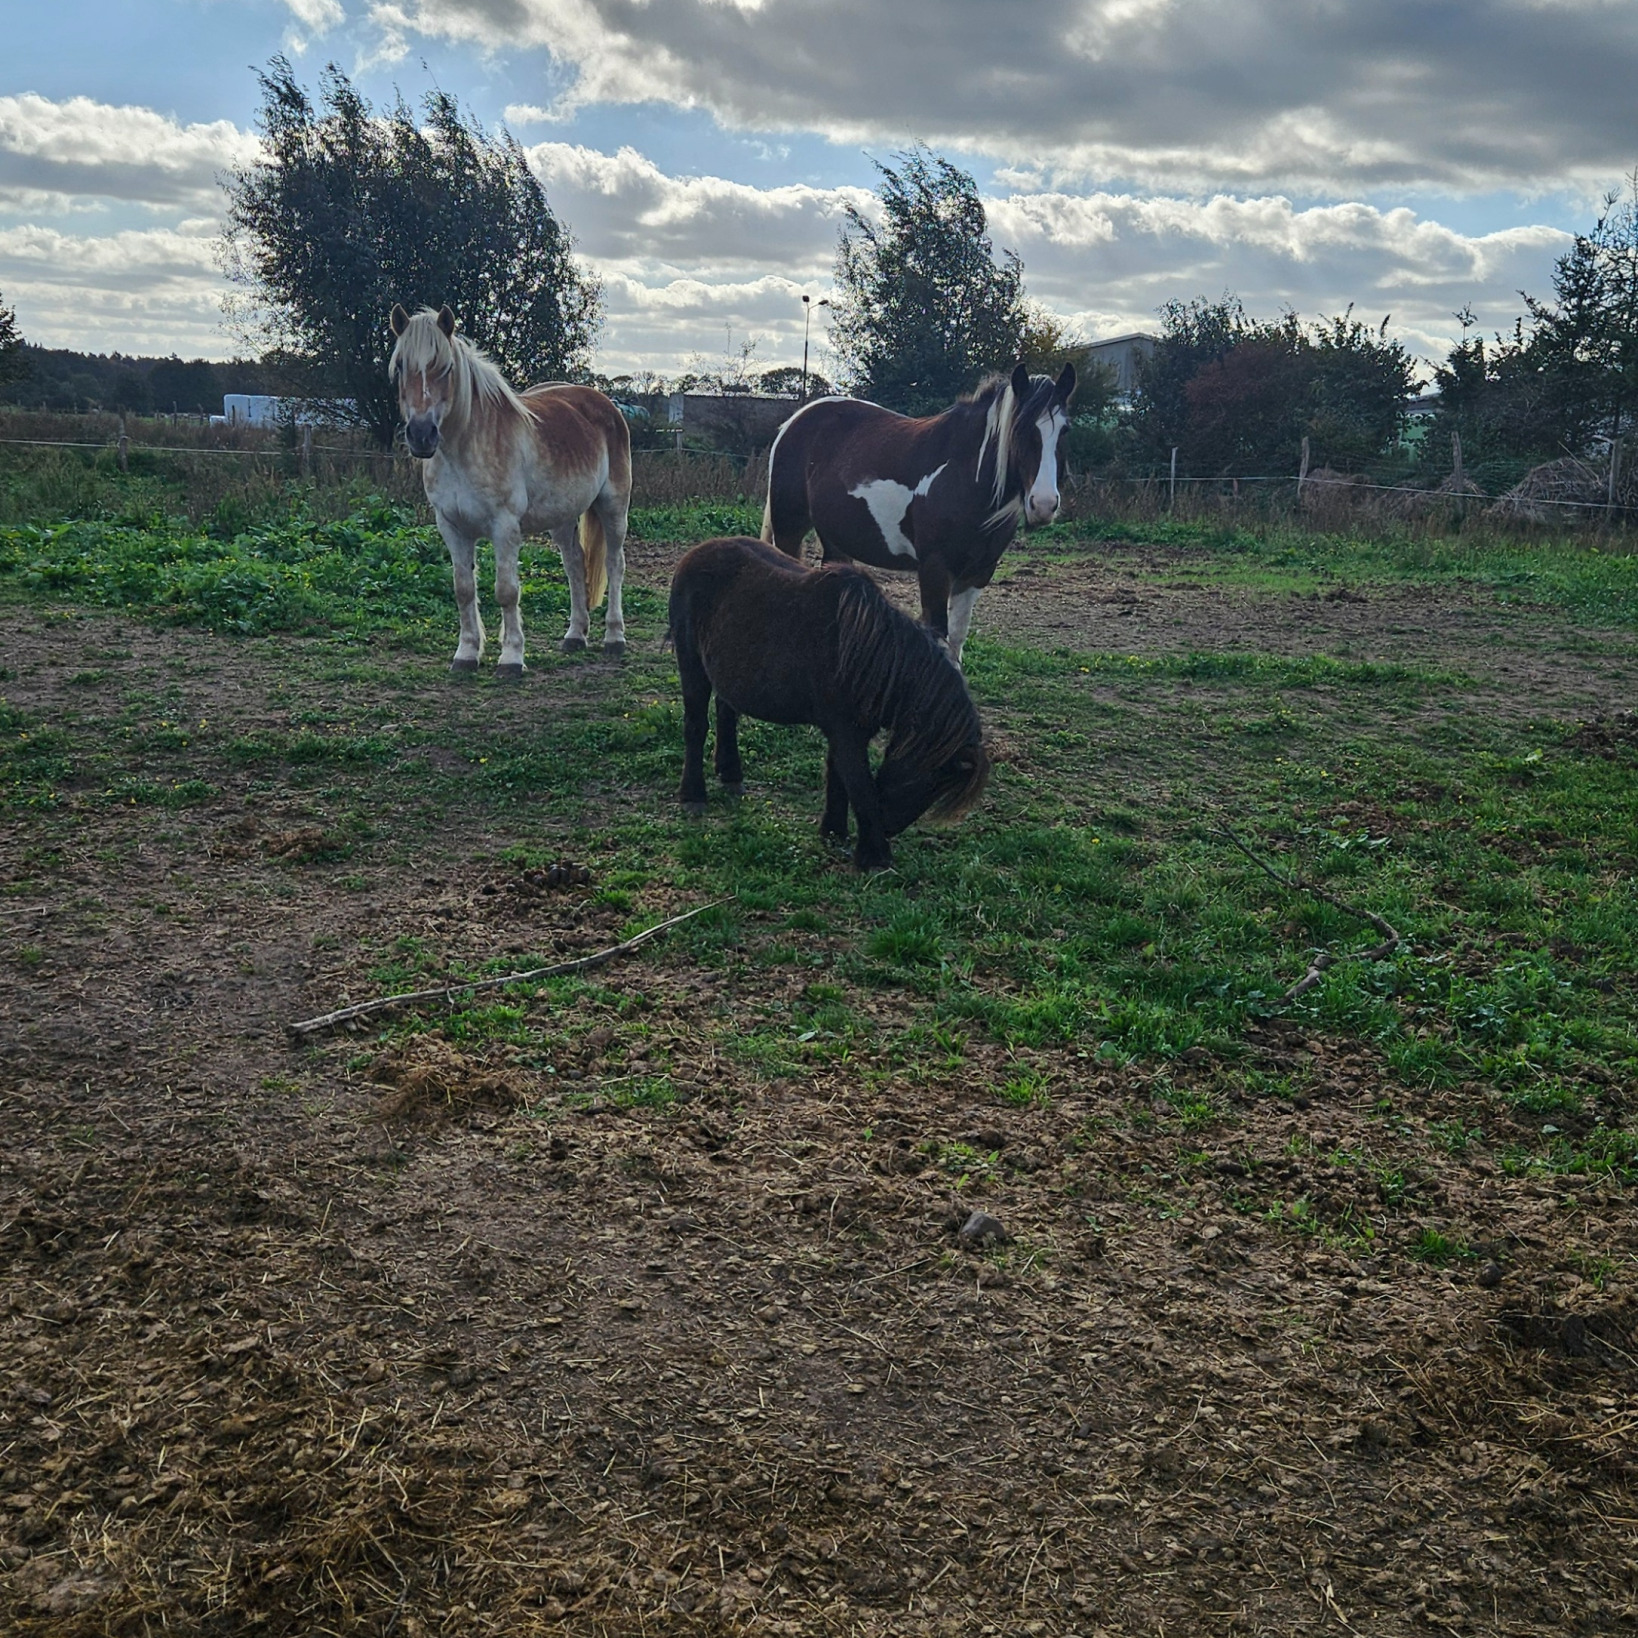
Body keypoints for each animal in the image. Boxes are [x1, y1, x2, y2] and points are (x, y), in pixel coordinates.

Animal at [388, 304, 632, 673]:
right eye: (401, 364)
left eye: (445, 367)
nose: (421, 435)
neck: (465, 448)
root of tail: (606, 404)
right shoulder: (451, 526)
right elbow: (463, 589)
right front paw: (466, 654)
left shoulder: (504, 527)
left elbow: (506, 591)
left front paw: (511, 658)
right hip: (562, 516)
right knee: (574, 564)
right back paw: (575, 635)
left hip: (614, 506)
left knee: (614, 564)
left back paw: (614, 638)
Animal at [668, 536, 990, 871]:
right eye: (932, 778)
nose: (888, 825)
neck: (872, 657)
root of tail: (696, 553)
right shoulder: (846, 733)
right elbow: (859, 784)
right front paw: (874, 856)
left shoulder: (848, 731)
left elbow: (839, 776)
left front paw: (834, 832)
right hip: (691, 662)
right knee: (696, 726)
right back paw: (693, 795)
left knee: (726, 713)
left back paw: (730, 773)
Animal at [761, 362, 1076, 667]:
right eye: (1019, 429)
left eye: (1065, 430)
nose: (1044, 504)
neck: (964, 477)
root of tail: (795, 420)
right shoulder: (935, 568)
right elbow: (939, 637)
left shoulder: (977, 572)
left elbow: (956, 640)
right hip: (789, 529)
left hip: (836, 540)